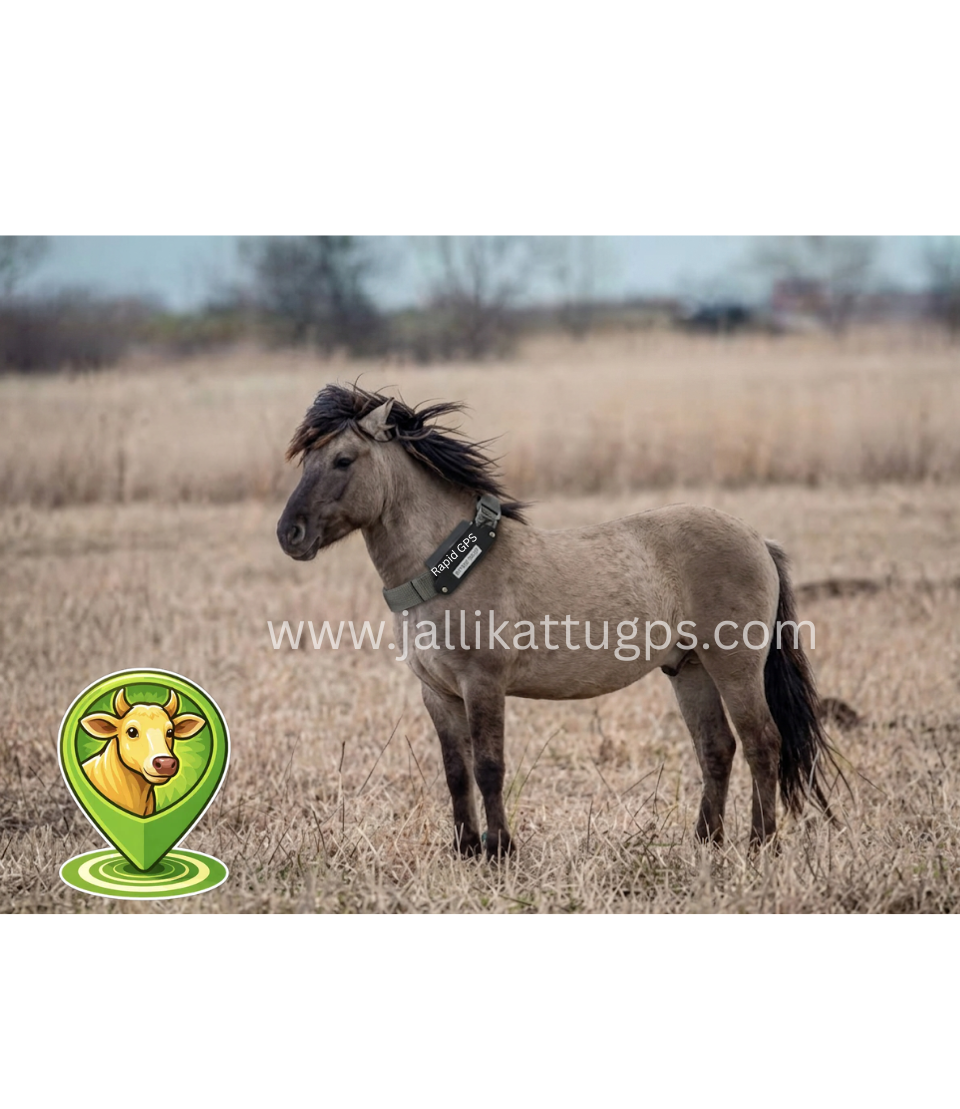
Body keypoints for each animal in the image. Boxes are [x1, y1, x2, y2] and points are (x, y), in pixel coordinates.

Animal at [277, 383, 838, 857]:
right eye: (306, 461)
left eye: (343, 460)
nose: (290, 534)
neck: (450, 568)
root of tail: (757, 540)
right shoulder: (437, 693)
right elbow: (456, 772)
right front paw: (465, 849)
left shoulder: (483, 684)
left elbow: (488, 767)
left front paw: (500, 851)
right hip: (690, 669)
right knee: (717, 748)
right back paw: (705, 844)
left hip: (735, 666)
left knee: (762, 743)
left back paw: (760, 845)